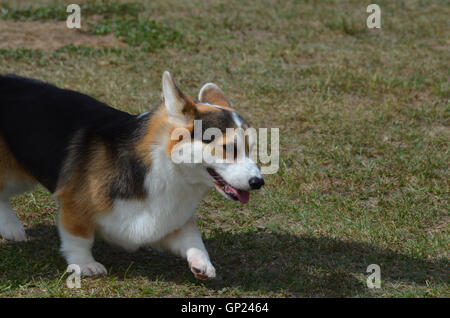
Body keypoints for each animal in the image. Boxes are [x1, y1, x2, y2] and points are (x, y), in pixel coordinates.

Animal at [0, 71, 264, 278]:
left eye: (250, 148)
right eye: (229, 148)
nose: (258, 182)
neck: (166, 167)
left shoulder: (167, 221)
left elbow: (192, 238)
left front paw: (202, 264)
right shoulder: (74, 205)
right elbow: (78, 238)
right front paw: (85, 265)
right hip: (14, 175)